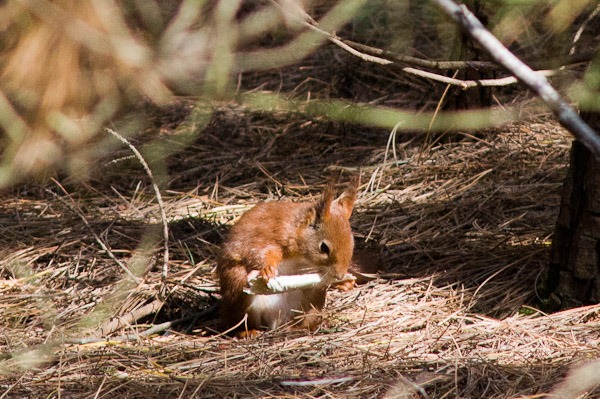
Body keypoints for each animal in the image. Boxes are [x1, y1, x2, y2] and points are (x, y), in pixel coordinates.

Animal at [218, 181, 356, 338]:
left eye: (352, 244)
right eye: (324, 248)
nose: (340, 275)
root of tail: (274, 322)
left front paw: (345, 283)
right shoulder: (268, 236)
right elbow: (259, 252)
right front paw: (267, 269)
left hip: (311, 304)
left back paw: (298, 328)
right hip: (237, 288)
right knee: (236, 322)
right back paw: (247, 331)